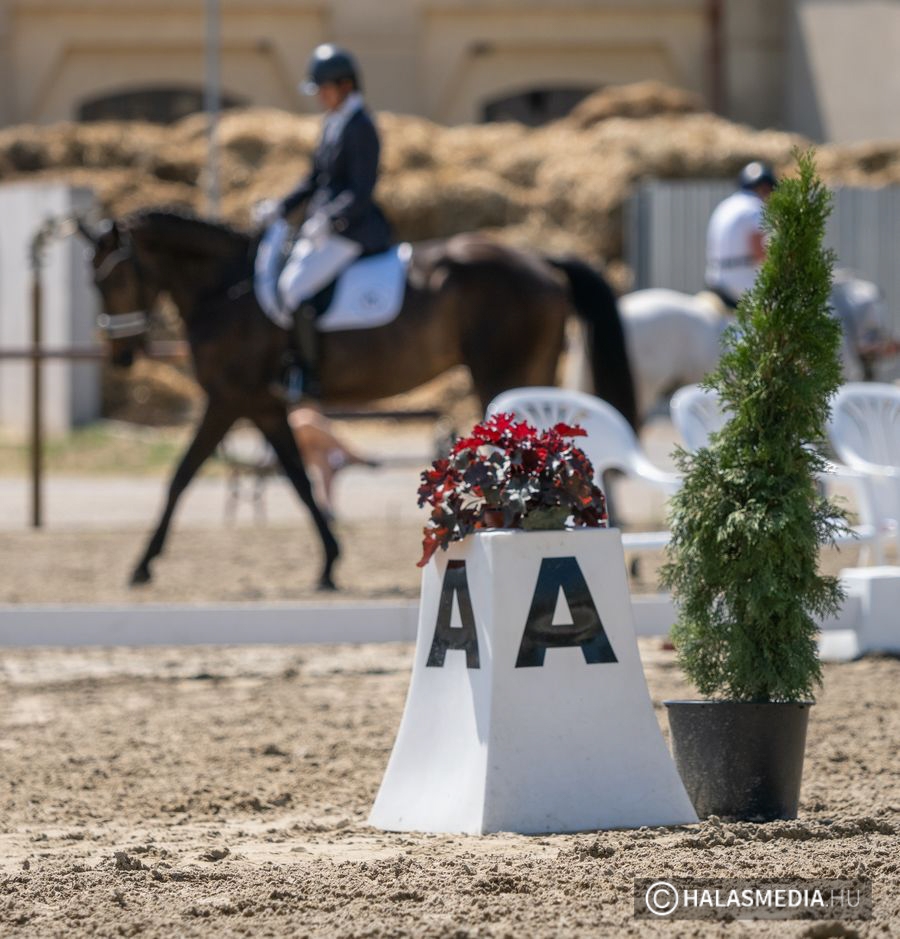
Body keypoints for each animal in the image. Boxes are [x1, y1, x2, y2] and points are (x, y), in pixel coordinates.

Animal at [78, 209, 635, 590]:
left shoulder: (230, 398)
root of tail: (539, 259)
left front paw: (142, 564)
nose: (122, 356)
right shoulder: (264, 406)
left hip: (502, 373)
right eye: (93, 280)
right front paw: (329, 562)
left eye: (115, 278)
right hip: (526, 373)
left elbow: (181, 476)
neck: (225, 288)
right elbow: (301, 482)